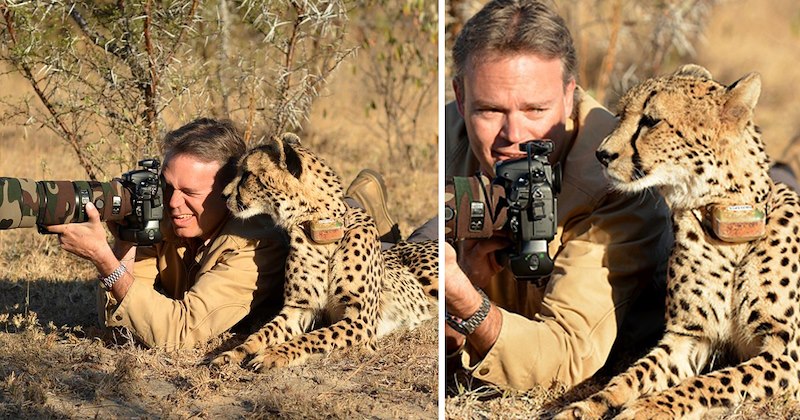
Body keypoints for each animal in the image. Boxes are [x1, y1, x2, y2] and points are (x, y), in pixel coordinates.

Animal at [210, 133, 438, 370]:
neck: (321, 229)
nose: (223, 195)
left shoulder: (361, 320)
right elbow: (261, 334)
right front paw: (232, 354)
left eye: (247, 174)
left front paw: (274, 354)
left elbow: (314, 337)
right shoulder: (298, 308)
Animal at [555, 64, 800, 419]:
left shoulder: (785, 354)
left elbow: (711, 382)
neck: (725, 222)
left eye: (651, 121)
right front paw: (584, 407)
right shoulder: (688, 338)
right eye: (620, 115)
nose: (602, 154)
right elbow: (632, 375)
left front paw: (647, 408)